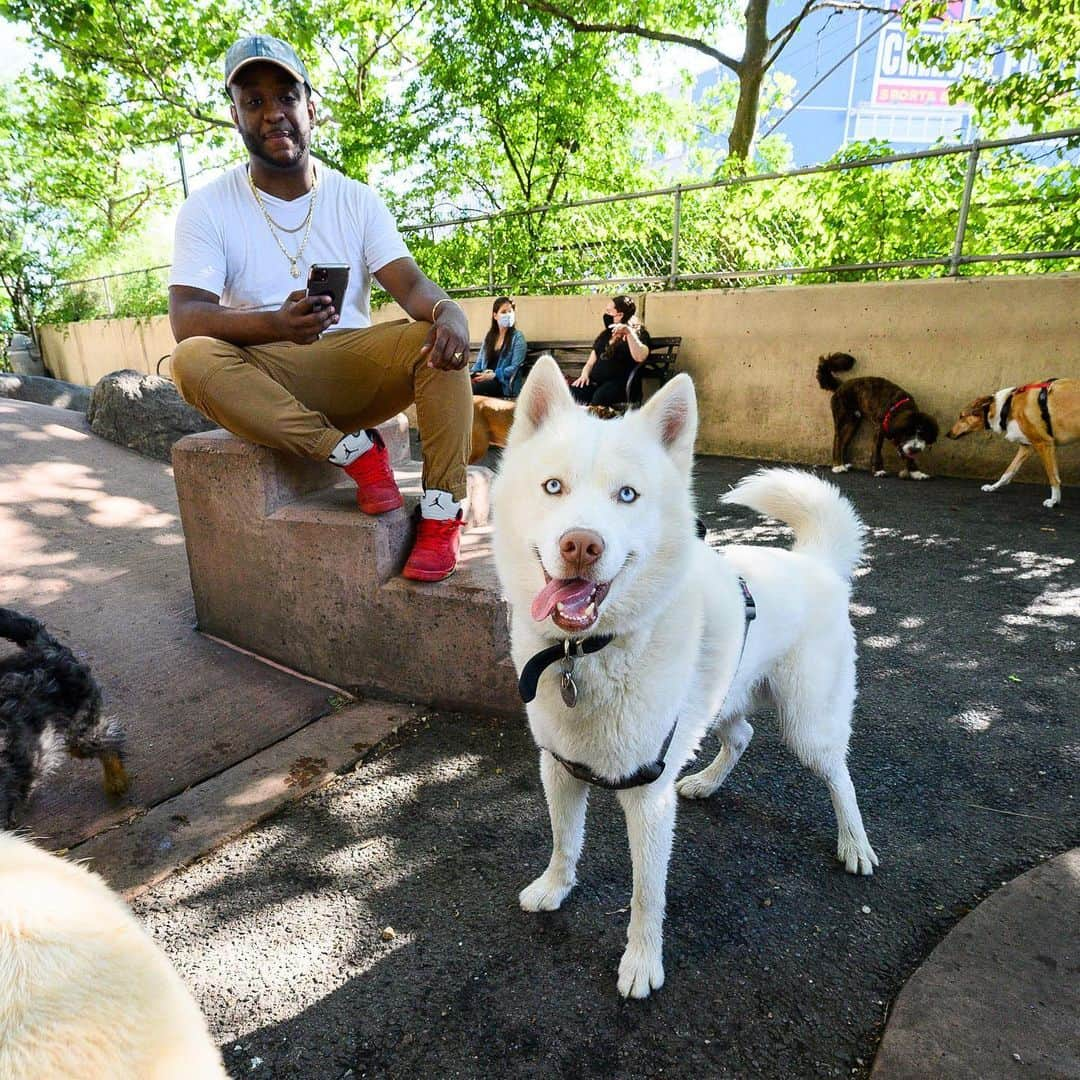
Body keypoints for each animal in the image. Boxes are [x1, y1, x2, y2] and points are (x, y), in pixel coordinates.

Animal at [950, 378, 1075, 507]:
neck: (1006, 406)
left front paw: (1054, 500)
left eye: (961, 416)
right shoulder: (1026, 446)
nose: (948, 434)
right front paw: (992, 487)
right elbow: (1009, 471)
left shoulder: (1044, 444)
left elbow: (1053, 476)